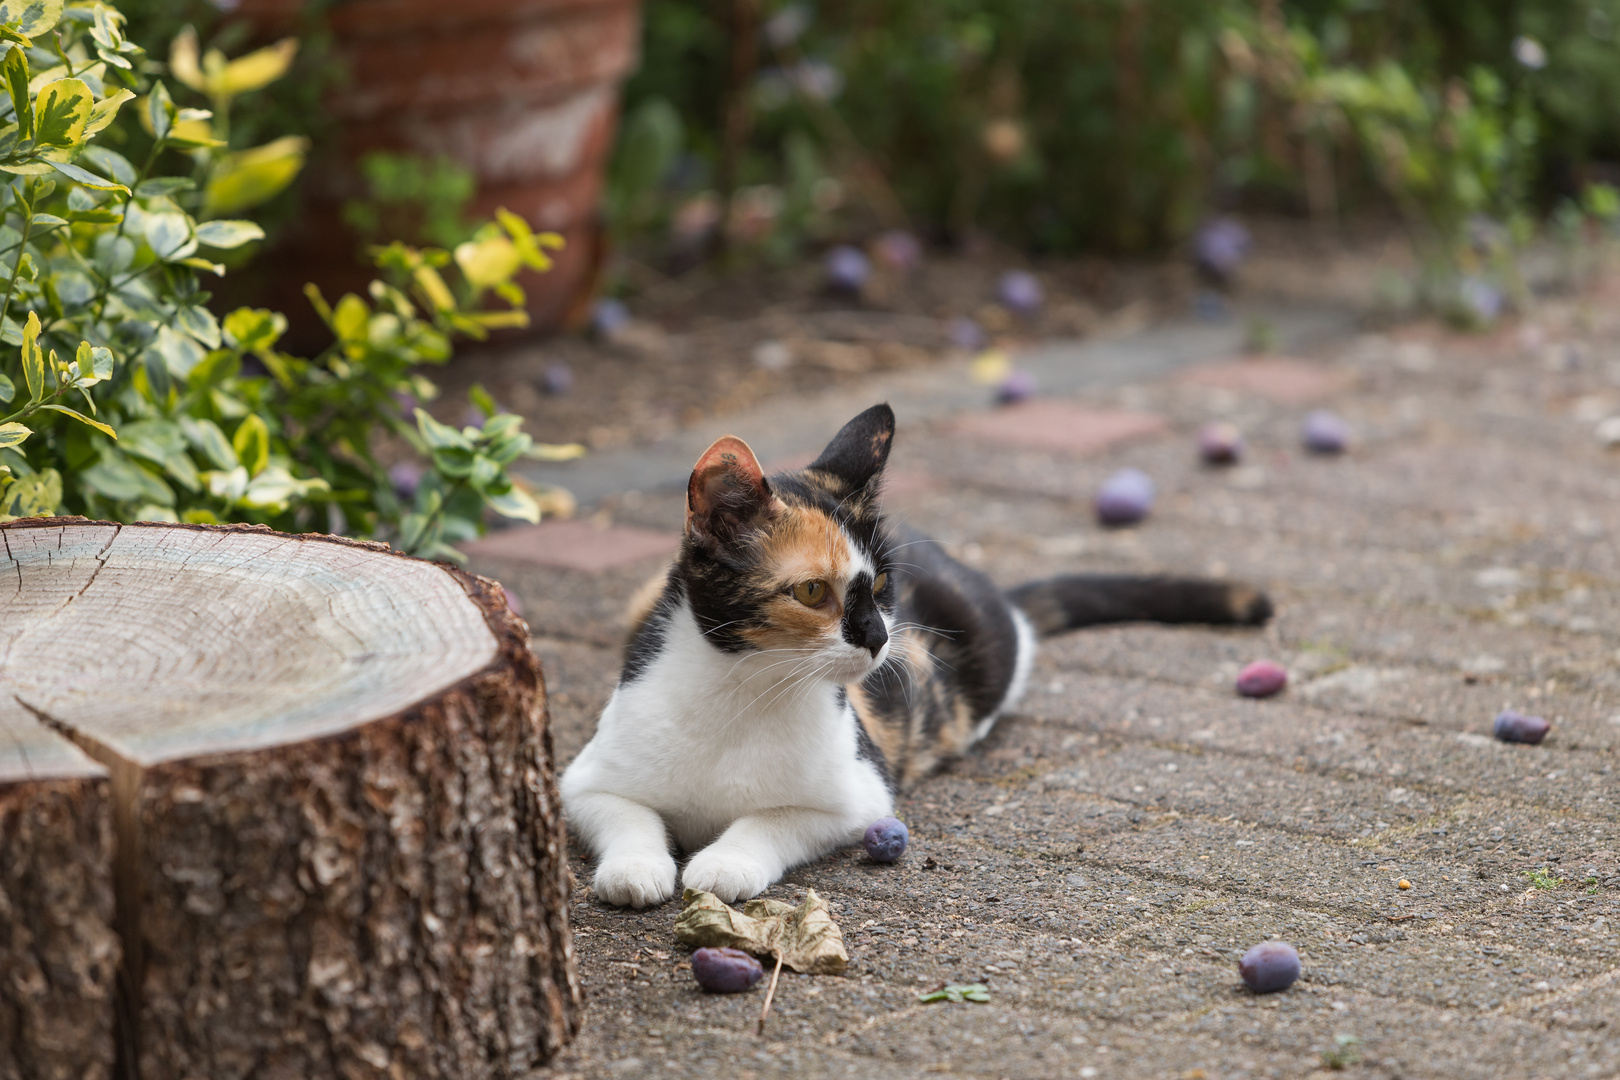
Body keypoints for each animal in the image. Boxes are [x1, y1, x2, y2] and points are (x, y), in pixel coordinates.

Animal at [563, 401, 1270, 906]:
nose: (879, 637)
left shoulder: (859, 794)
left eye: (880, 586)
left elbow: (773, 819)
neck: (742, 693)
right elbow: (625, 812)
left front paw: (724, 862)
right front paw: (635, 870)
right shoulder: (583, 779)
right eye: (813, 591)